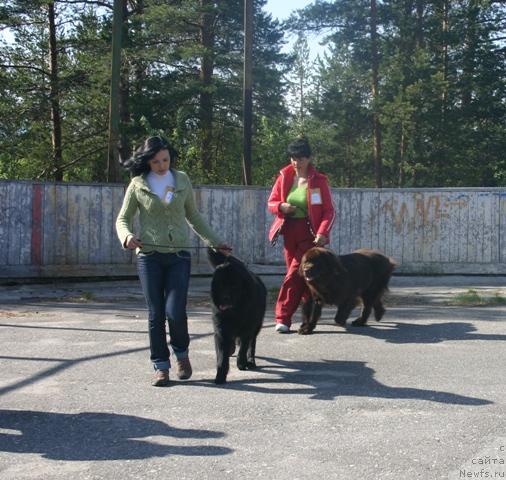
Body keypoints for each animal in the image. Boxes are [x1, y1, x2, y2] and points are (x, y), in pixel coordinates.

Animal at [208, 249, 266, 384]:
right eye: (221, 285)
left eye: (234, 286)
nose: (225, 298)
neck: (234, 312)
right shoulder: (221, 331)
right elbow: (222, 357)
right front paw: (220, 376)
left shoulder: (247, 329)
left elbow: (244, 347)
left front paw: (241, 363)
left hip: (256, 326)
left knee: (252, 344)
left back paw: (250, 360)